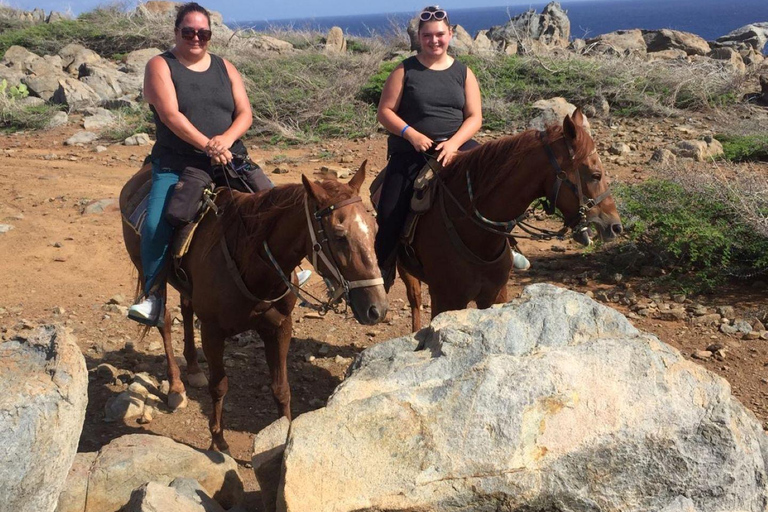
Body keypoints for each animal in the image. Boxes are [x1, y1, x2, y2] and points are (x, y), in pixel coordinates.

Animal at [121, 162, 388, 450]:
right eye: (339, 236)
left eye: (374, 229)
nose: (377, 309)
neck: (251, 264)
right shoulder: (212, 332)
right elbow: (219, 386)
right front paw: (218, 442)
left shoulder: (280, 327)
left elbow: (281, 388)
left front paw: (282, 441)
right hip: (149, 270)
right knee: (165, 321)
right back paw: (176, 386)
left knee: (186, 307)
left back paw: (193, 368)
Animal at [400, 110, 620, 330]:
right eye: (595, 175)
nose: (615, 227)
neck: (476, 233)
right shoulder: (446, 300)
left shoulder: (495, 295)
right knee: (415, 299)